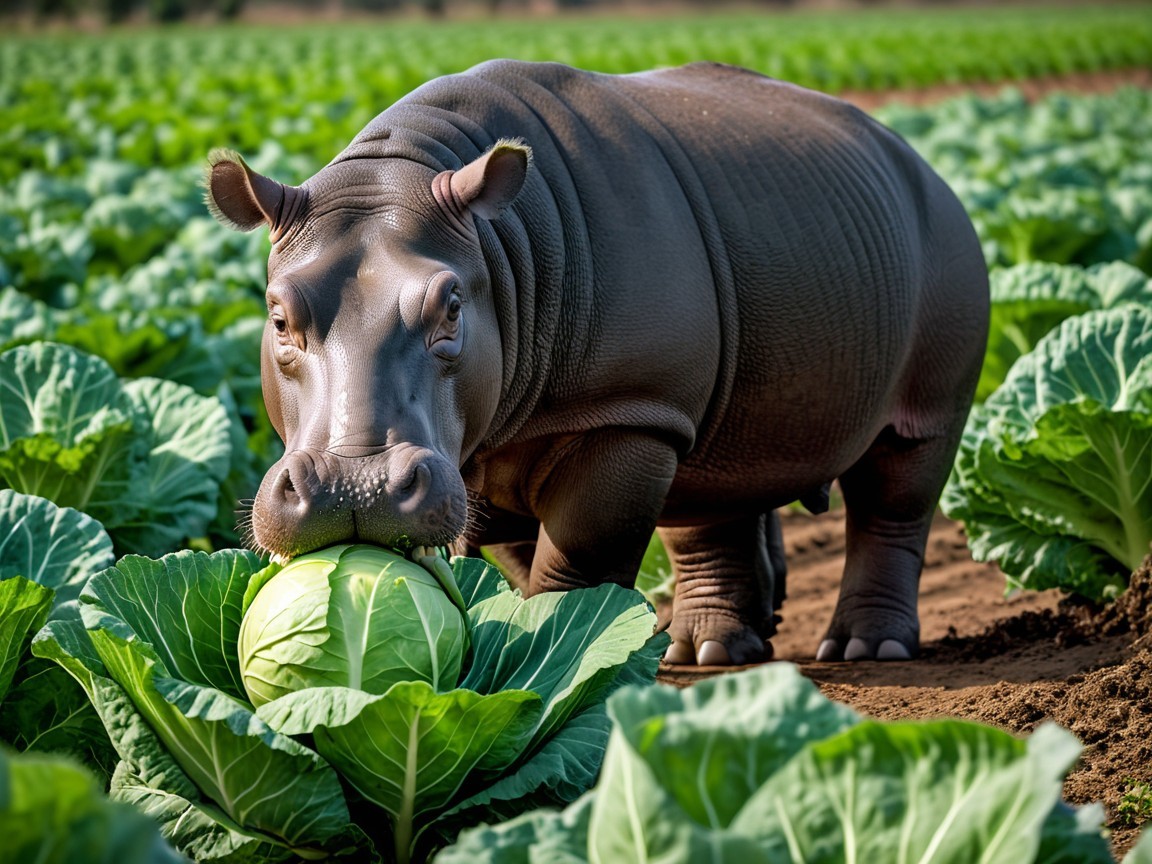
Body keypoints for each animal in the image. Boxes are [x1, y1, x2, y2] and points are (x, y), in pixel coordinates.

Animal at [207, 59, 989, 666]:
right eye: (278, 318)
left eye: (452, 310)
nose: (357, 491)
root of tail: (918, 160)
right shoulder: (510, 435)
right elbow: (515, 555)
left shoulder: (627, 406)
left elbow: (576, 556)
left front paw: (567, 650)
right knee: (718, 481)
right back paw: (712, 655)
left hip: (946, 246)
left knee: (902, 470)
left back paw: (865, 651)